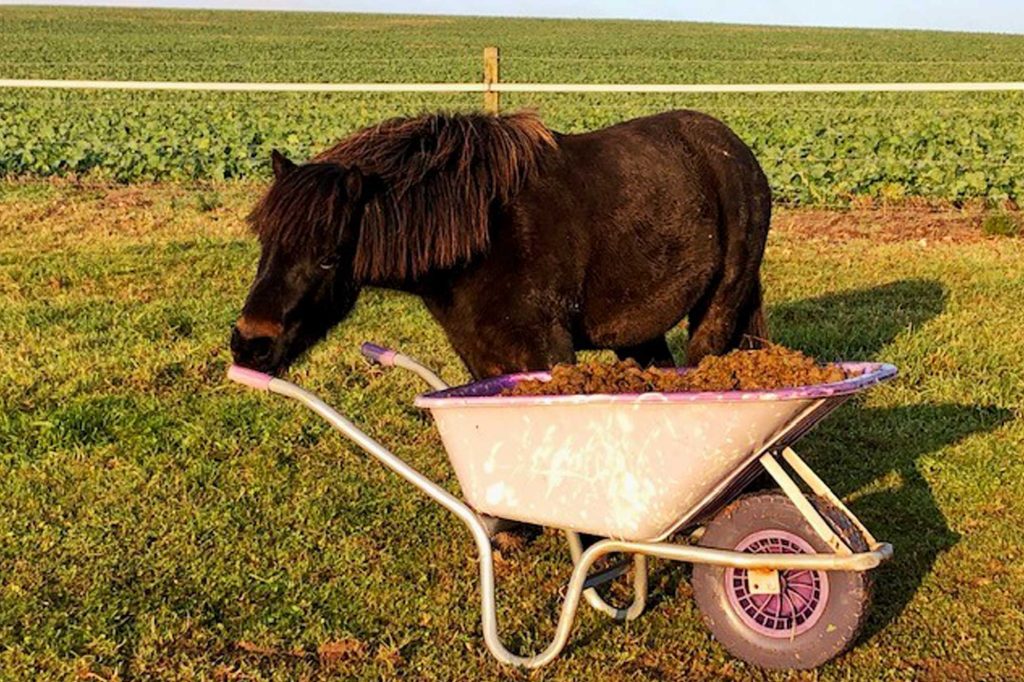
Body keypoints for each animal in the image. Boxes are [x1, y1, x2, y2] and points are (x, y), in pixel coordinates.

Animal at [230, 110, 770, 376]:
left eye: (328, 258)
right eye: (266, 243)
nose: (249, 345)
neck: (484, 238)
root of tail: (735, 149)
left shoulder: (549, 352)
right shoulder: (479, 355)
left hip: (718, 309)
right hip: (638, 332)